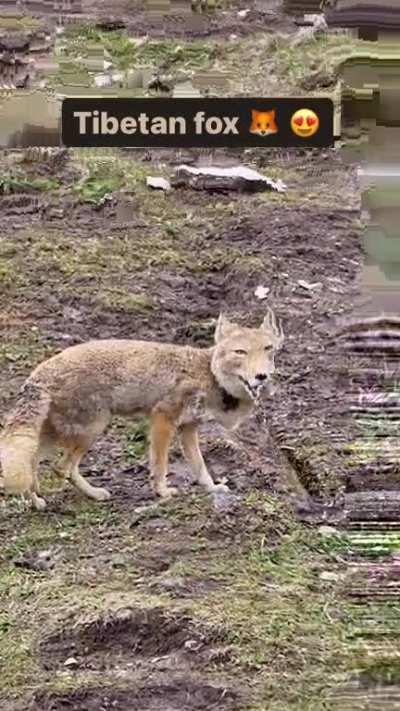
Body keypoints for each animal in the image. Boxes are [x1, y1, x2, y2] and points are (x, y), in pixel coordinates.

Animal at [0, 309, 285, 511]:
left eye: (268, 350)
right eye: (240, 352)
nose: (261, 376)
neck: (209, 375)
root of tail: (38, 374)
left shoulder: (188, 429)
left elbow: (200, 467)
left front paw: (213, 488)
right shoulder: (162, 419)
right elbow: (160, 464)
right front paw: (163, 492)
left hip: (57, 436)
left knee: (36, 464)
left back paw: (39, 501)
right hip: (91, 430)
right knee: (61, 468)